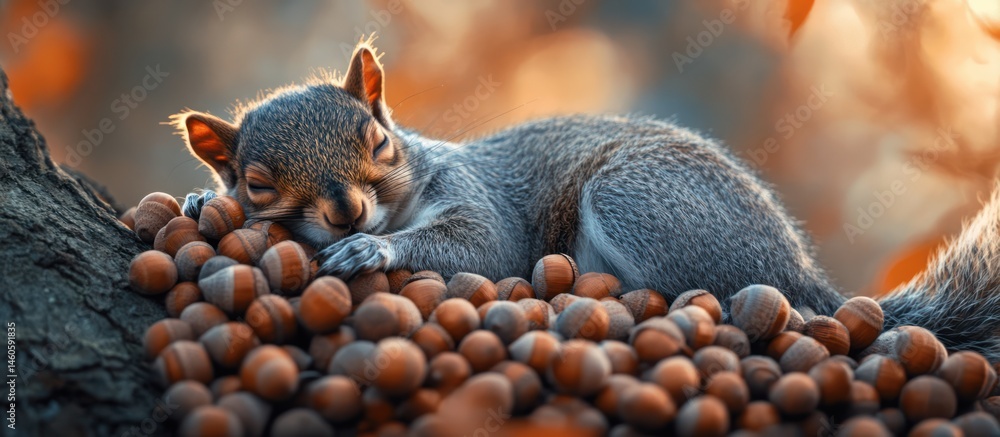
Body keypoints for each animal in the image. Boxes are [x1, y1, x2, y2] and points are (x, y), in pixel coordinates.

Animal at [175, 41, 1000, 361]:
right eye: (254, 184)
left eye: (377, 140)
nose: (347, 213)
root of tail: (803, 275)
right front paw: (190, 202)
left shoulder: (482, 205)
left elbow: (484, 246)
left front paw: (373, 246)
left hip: (639, 197)